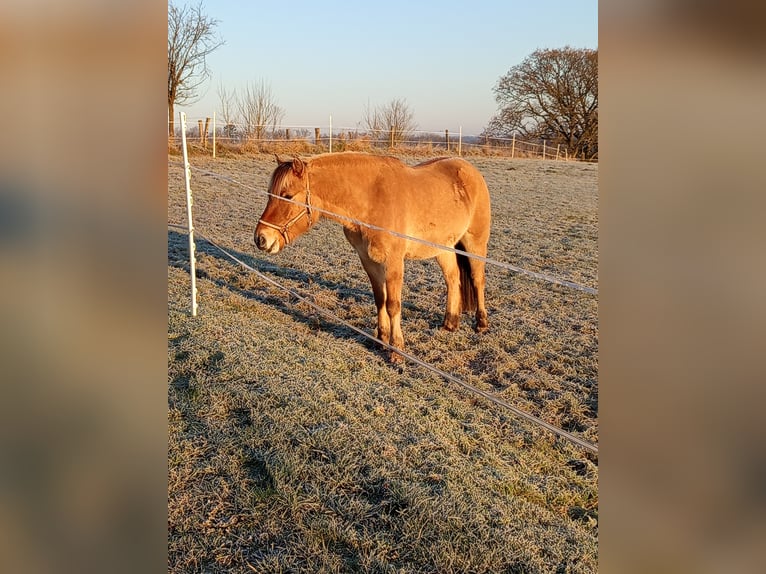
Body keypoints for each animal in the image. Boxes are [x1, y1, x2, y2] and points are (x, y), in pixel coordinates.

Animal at [255, 151, 496, 362]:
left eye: (287, 196)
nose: (261, 239)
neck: (372, 200)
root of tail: (470, 170)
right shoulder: (369, 260)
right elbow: (380, 299)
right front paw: (381, 339)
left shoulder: (394, 263)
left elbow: (393, 304)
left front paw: (397, 350)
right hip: (443, 248)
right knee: (453, 279)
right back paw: (450, 323)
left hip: (475, 243)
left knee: (477, 279)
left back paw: (481, 324)